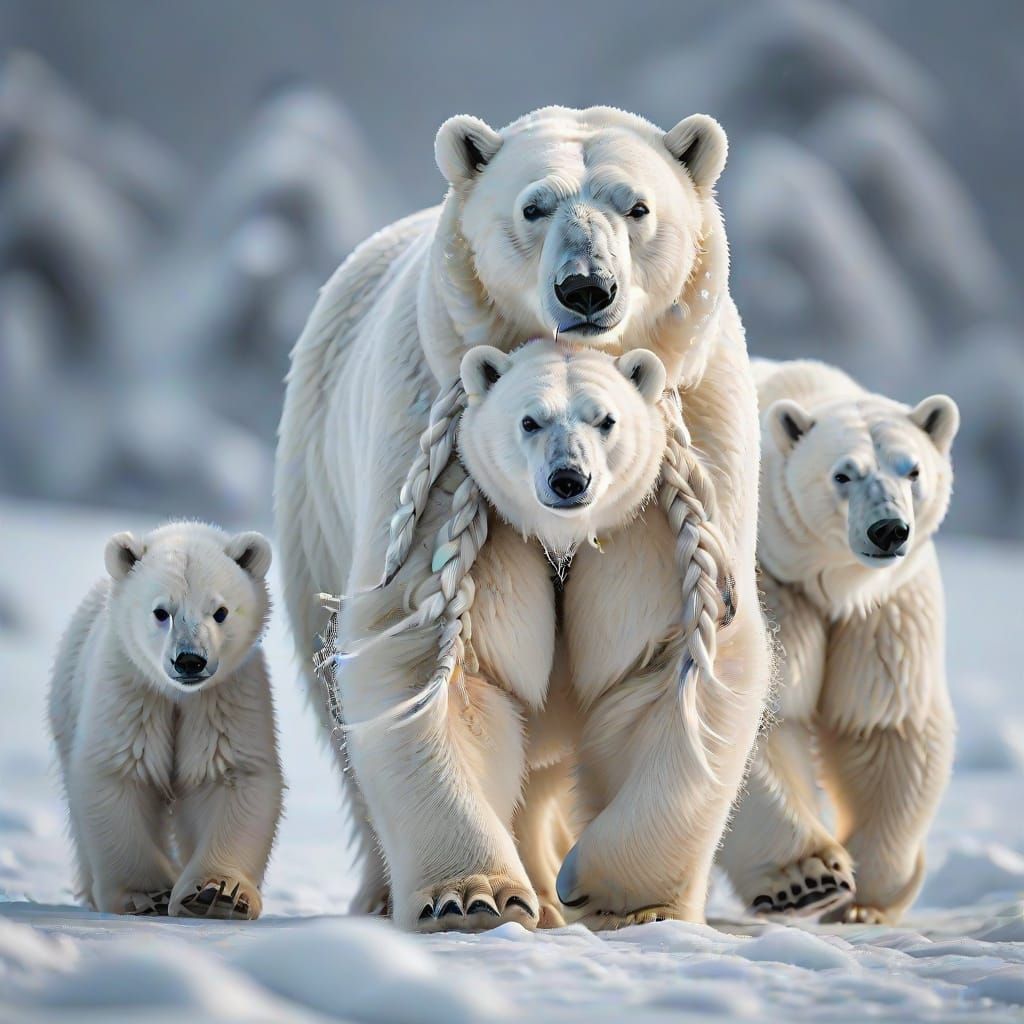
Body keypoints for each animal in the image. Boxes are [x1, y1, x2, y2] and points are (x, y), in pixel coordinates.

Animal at [48, 522, 283, 920]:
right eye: (161, 611)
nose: (190, 660)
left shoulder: (224, 700)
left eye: (220, 611)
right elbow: (121, 774)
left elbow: (228, 776)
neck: (179, 697)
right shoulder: (132, 692)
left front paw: (217, 894)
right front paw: (147, 895)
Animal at [275, 105, 771, 931]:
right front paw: (470, 893)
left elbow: (671, 648)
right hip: (316, 497)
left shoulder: (684, 448)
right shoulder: (445, 446)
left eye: (637, 206)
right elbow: (437, 649)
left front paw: (629, 897)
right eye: (535, 206)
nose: (586, 288)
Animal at [719, 359, 959, 925]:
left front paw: (868, 899)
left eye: (912, 470)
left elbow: (883, 724)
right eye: (843, 474)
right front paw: (808, 881)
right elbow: (760, 713)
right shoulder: (770, 587)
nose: (889, 530)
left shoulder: (884, 611)